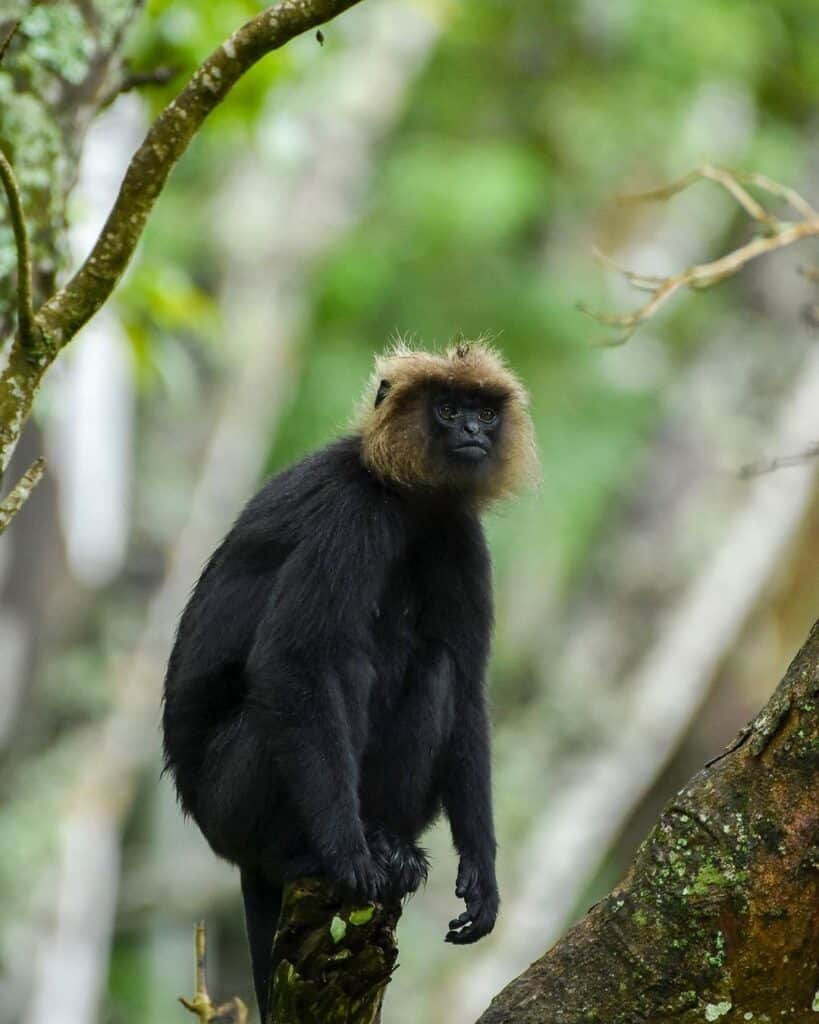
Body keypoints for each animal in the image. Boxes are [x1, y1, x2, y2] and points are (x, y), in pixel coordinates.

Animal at [162, 339, 540, 1019]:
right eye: (448, 410)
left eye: (484, 413)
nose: (473, 432)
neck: (407, 498)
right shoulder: (351, 514)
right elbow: (293, 660)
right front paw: (346, 854)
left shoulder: (460, 535)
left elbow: (470, 689)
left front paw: (483, 874)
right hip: (232, 803)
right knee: (337, 666)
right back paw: (312, 853)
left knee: (437, 668)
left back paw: (390, 844)